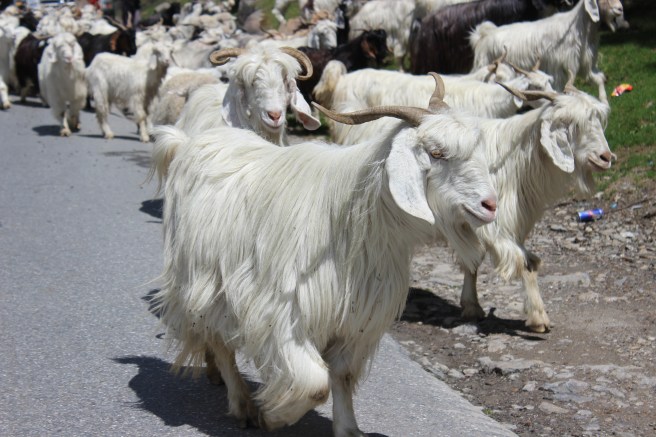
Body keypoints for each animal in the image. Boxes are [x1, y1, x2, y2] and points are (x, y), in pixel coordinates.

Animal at [150, 73, 498, 435]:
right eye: (436, 153)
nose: (490, 205)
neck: (356, 221)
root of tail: (188, 143)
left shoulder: (357, 321)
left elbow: (341, 375)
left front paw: (347, 428)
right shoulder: (282, 311)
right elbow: (315, 383)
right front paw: (274, 415)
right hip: (202, 279)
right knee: (219, 340)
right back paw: (242, 403)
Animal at [456, 80, 615, 333]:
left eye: (599, 121)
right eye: (571, 124)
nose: (606, 157)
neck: (512, 162)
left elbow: (523, 262)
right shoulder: (492, 224)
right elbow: (520, 262)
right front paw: (538, 317)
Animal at [470, 0, 625, 102]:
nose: (620, 9)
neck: (578, 28)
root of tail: (482, 36)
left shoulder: (586, 65)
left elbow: (600, 79)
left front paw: (604, 103)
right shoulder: (559, 70)